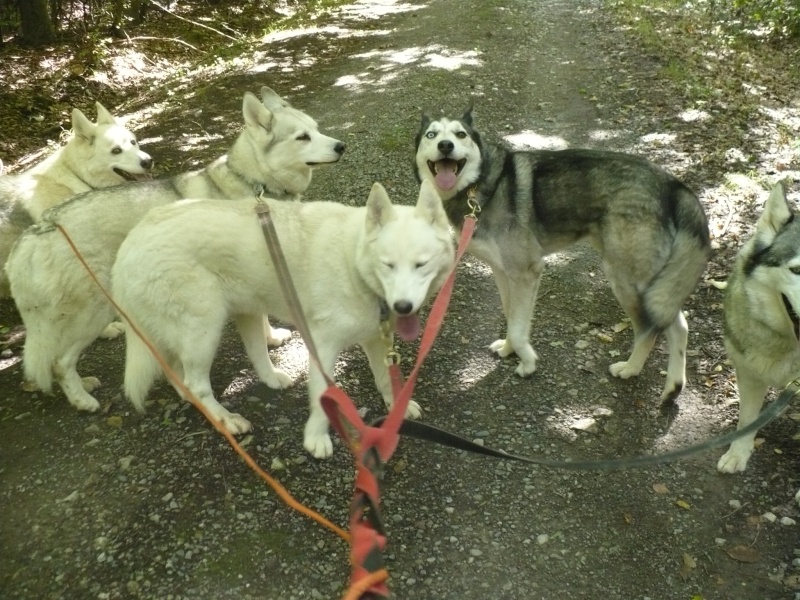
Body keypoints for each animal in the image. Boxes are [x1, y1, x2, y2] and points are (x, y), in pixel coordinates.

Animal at [7, 88, 344, 412]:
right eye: (302, 137)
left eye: (316, 128)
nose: (341, 146)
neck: (253, 183)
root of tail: (38, 229)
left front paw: (272, 339)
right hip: (95, 312)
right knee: (60, 362)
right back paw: (82, 400)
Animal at [111, 180, 456, 458]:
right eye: (388, 265)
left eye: (421, 264)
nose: (403, 306)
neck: (353, 263)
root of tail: (128, 246)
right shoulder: (323, 345)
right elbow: (321, 394)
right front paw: (316, 438)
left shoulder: (376, 336)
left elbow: (385, 377)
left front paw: (397, 407)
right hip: (204, 330)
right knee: (196, 383)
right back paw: (224, 418)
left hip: (243, 312)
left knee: (207, 365)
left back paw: (268, 379)